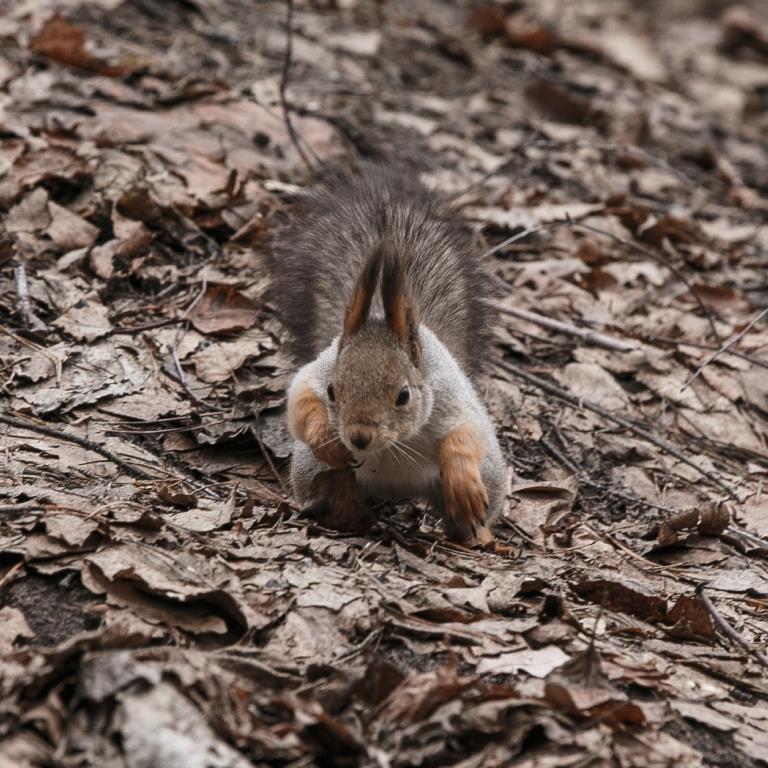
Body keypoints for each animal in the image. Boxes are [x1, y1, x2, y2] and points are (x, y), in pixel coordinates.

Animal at [268, 165, 508, 544]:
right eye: (332, 390)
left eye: (404, 395)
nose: (358, 437)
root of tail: (394, 490)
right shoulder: (319, 369)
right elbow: (301, 398)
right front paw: (326, 439)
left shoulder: (449, 396)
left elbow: (467, 434)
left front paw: (462, 482)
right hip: (310, 470)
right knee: (331, 486)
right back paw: (341, 513)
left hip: (491, 477)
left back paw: (475, 534)